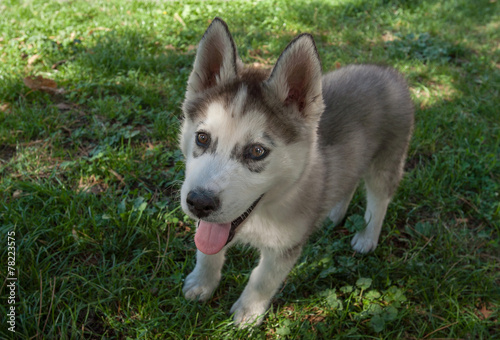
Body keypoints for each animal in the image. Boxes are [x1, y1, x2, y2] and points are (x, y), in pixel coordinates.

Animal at [180, 17, 414, 326]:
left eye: (257, 151)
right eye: (202, 138)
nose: (199, 203)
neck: (263, 213)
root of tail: (389, 72)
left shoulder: (284, 246)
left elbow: (262, 279)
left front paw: (248, 314)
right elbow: (206, 252)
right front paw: (201, 283)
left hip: (387, 161)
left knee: (379, 201)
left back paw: (367, 237)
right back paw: (333, 214)